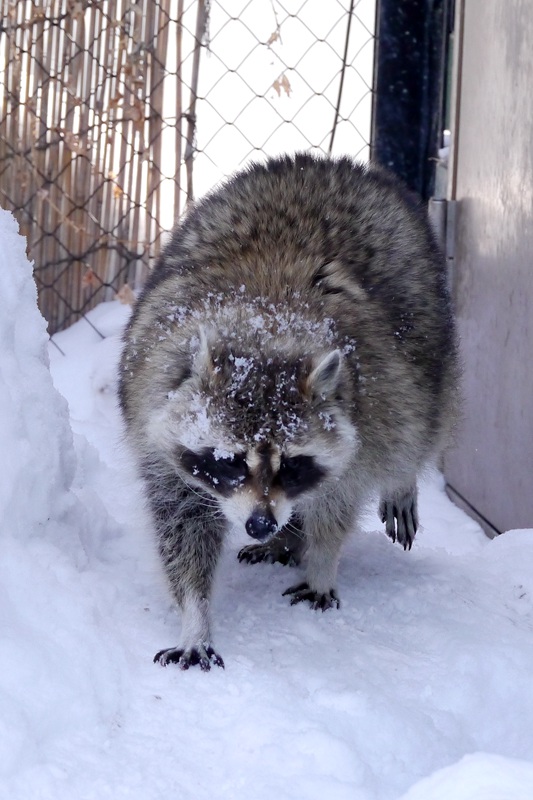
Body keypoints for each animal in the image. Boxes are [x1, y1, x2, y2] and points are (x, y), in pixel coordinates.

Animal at [119, 150, 458, 668]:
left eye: (293, 464)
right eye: (229, 461)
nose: (260, 524)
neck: (264, 328)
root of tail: (325, 163)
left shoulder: (370, 408)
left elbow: (337, 501)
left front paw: (321, 559)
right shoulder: (156, 421)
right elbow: (181, 523)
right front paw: (195, 614)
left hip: (427, 339)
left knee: (420, 423)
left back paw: (397, 481)